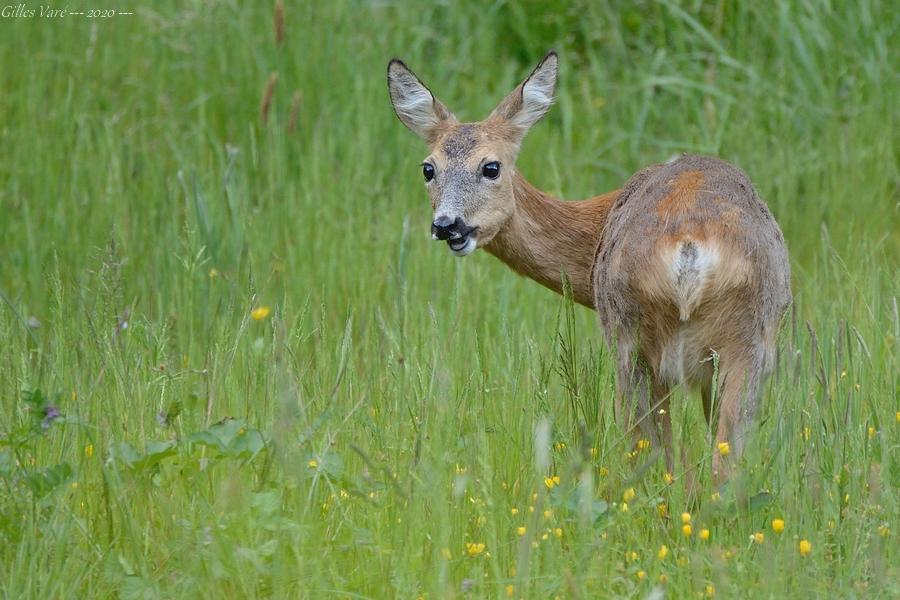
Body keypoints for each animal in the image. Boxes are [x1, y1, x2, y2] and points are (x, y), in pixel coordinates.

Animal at [386, 50, 788, 482]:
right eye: (429, 169)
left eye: (490, 166)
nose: (448, 225)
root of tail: (688, 248)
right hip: (740, 340)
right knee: (719, 463)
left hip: (637, 337)